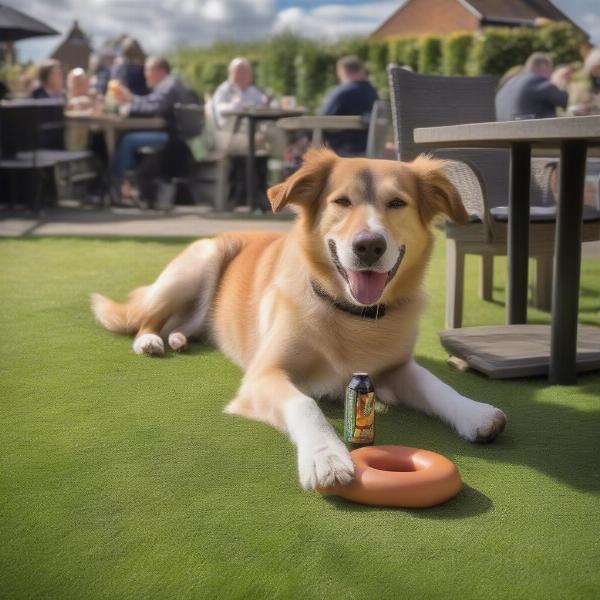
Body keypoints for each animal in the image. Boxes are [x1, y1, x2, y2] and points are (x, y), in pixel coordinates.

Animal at [91, 148, 506, 490]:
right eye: (341, 201)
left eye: (397, 203)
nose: (369, 246)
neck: (350, 313)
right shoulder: (264, 375)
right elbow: (305, 404)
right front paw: (326, 457)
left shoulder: (396, 368)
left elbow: (436, 385)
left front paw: (475, 413)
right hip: (198, 265)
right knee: (148, 317)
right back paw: (150, 340)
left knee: (182, 326)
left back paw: (177, 338)